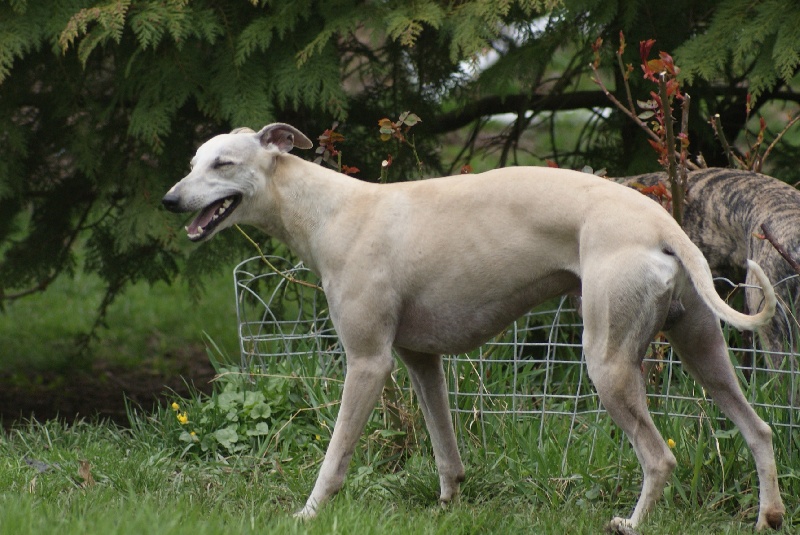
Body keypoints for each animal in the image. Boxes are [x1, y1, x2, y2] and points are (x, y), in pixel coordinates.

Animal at [161, 124, 780, 532]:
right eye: (192, 162)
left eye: (222, 164)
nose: (169, 199)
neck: (329, 209)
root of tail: (659, 223)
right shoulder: (421, 360)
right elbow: (445, 451)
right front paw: (447, 505)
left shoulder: (368, 362)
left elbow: (335, 457)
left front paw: (308, 512)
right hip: (703, 349)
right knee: (760, 429)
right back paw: (768, 515)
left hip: (607, 363)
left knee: (660, 458)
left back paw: (630, 523)